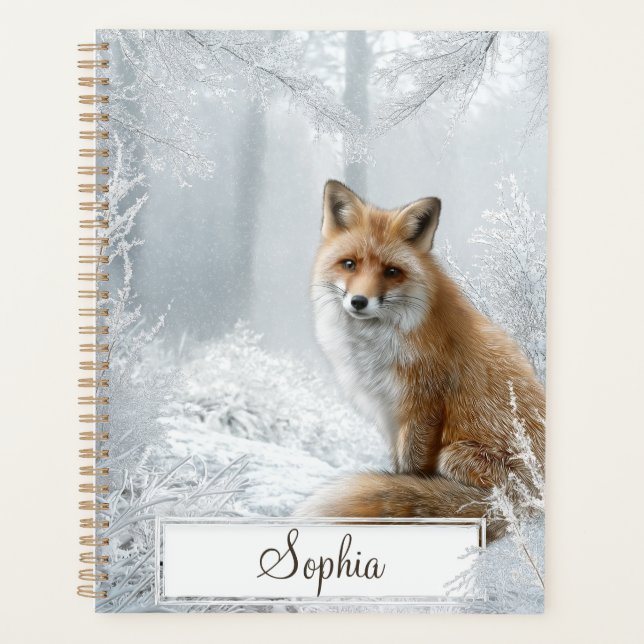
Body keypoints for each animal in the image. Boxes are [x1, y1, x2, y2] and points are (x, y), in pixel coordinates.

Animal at [299, 180, 545, 539]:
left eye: (392, 272)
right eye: (349, 264)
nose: (359, 301)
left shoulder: (424, 404)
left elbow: (411, 470)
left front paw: (408, 493)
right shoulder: (389, 414)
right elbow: (398, 466)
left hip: (454, 456)